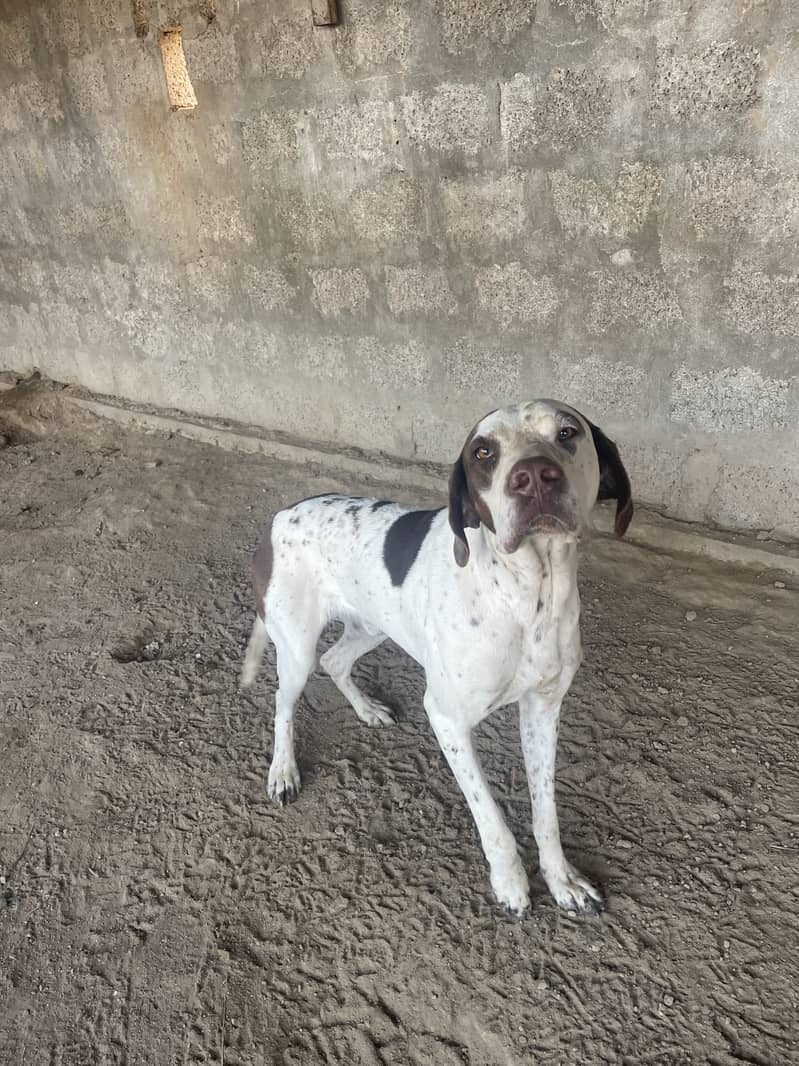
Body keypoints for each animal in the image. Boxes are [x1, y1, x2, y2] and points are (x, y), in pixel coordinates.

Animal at [240, 400, 634, 916]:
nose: (533, 476)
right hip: (297, 648)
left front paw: (561, 879)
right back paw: (283, 771)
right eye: (483, 451)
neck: (528, 596)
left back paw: (367, 710)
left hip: (372, 626)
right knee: (284, 702)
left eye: (568, 432)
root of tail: (281, 515)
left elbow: (545, 813)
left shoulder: (543, 709)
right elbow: (492, 820)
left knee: (336, 662)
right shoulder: (447, 720)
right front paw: (510, 883)